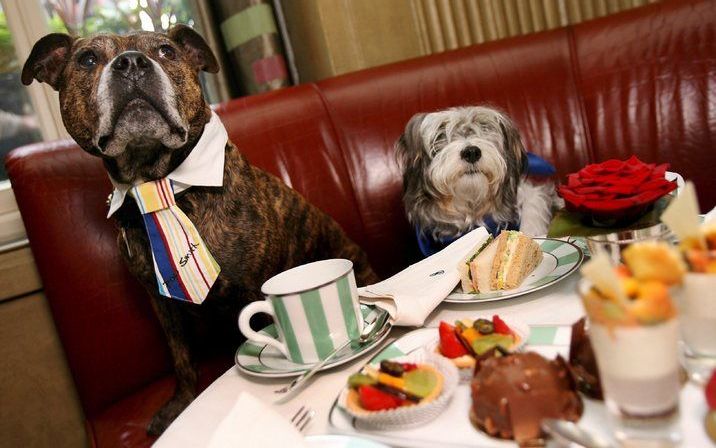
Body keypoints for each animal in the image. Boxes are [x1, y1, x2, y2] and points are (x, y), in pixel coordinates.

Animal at [22, 26, 380, 436]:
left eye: (166, 51)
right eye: (87, 59)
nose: (131, 62)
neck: (158, 179)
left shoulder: (249, 291)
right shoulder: (161, 303)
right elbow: (181, 358)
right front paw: (180, 404)